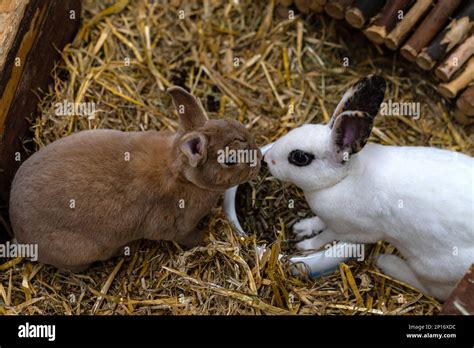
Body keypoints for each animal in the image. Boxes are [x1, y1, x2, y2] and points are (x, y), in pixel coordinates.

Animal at [9, 86, 262, 272]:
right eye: (230, 159)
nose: (259, 158)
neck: (183, 175)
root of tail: (20, 233)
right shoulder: (175, 227)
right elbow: (189, 237)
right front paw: (206, 237)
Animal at [264, 75, 472, 300]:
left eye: (300, 157)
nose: (266, 159)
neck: (344, 178)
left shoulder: (347, 230)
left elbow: (323, 237)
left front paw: (303, 246)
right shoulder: (328, 218)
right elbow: (318, 221)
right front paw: (302, 228)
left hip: (432, 268)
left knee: (432, 289)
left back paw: (387, 262)